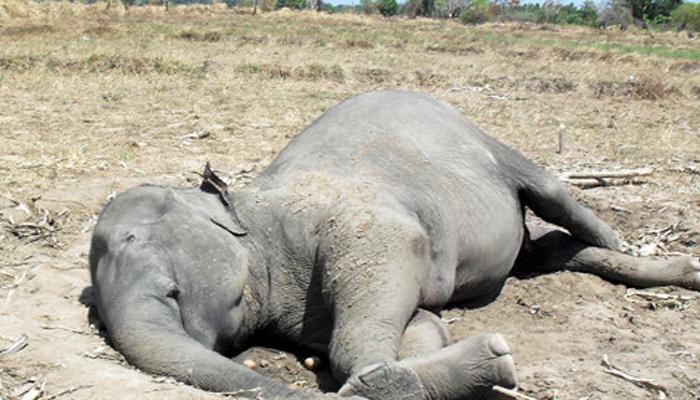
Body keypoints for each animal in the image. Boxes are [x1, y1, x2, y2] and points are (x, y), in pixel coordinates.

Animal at [91, 91, 700, 400]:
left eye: (134, 238)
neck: (252, 207)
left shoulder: (356, 222)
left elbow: (392, 256)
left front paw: (478, 362)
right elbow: (419, 322)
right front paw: (443, 356)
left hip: (490, 146)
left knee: (552, 195)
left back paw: (638, 248)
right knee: (547, 253)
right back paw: (682, 270)